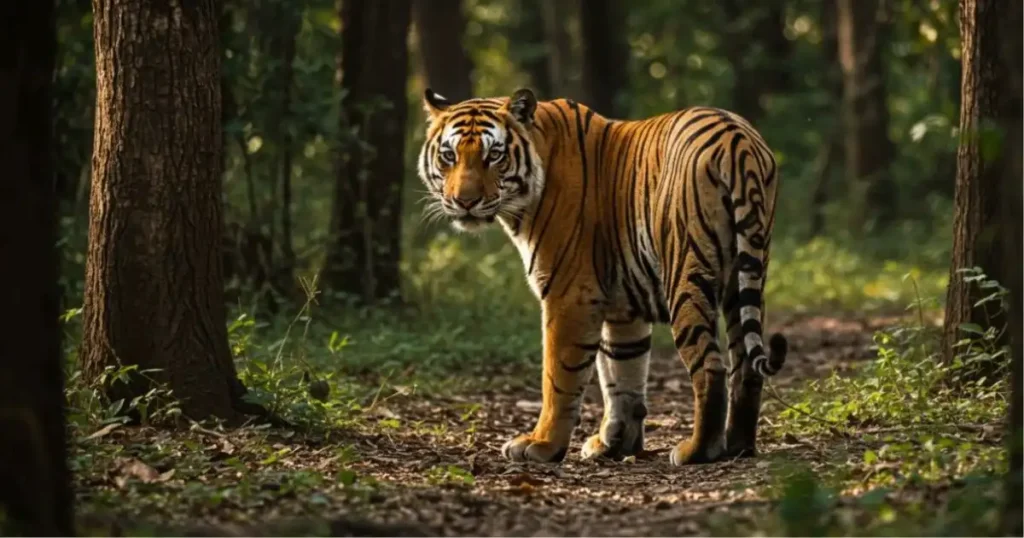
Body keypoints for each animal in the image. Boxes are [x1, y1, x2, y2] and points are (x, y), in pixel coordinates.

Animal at [416, 87, 788, 465]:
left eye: (494, 155)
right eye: (449, 156)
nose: (465, 202)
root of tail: (736, 139)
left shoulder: (569, 295)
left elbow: (559, 378)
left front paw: (542, 444)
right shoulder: (623, 307)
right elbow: (622, 375)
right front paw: (615, 444)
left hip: (686, 272)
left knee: (711, 366)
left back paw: (696, 450)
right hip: (744, 275)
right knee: (744, 365)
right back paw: (738, 445)